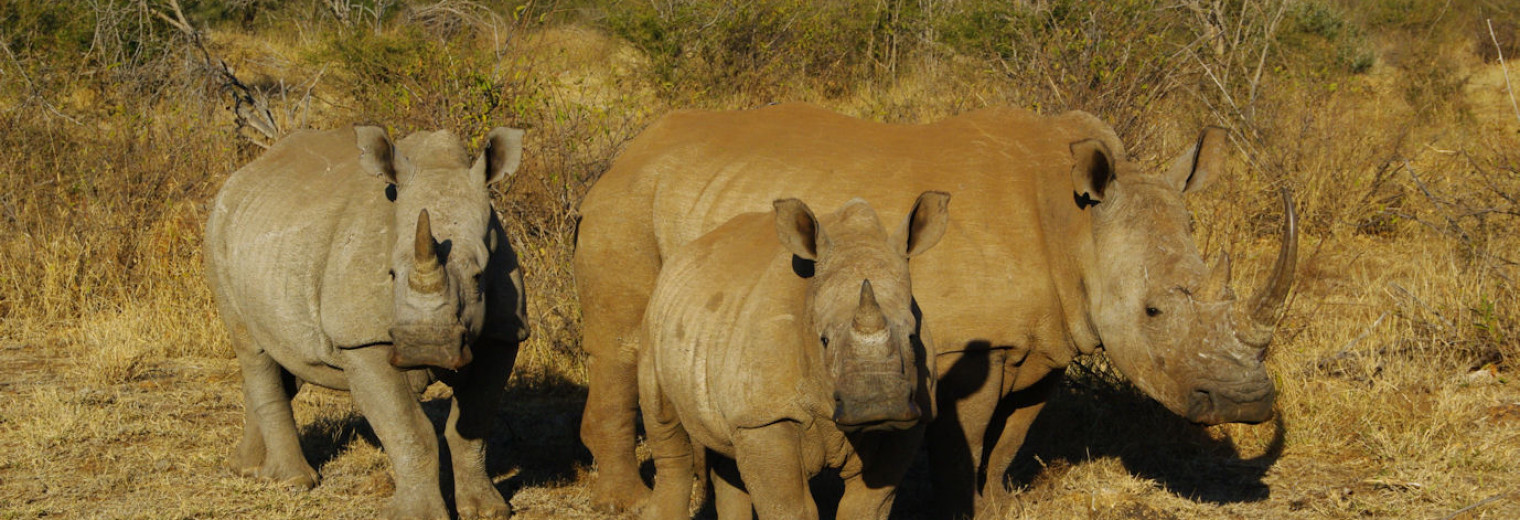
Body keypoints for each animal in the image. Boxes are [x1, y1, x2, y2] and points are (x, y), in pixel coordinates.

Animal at [205, 126, 532, 520]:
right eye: (390, 273)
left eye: (478, 275)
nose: (425, 344)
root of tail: (241, 176)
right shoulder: (361, 339)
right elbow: (410, 429)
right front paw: (419, 515)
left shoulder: (504, 334)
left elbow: (474, 423)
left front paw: (488, 511)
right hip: (217, 235)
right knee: (252, 348)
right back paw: (294, 481)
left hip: (270, 243)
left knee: (287, 356)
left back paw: (247, 469)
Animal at [635, 193, 942, 520]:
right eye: (823, 340)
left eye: (912, 336)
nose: (878, 406)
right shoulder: (763, 415)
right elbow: (790, 507)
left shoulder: (913, 418)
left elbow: (867, 505)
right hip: (655, 316)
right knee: (665, 425)